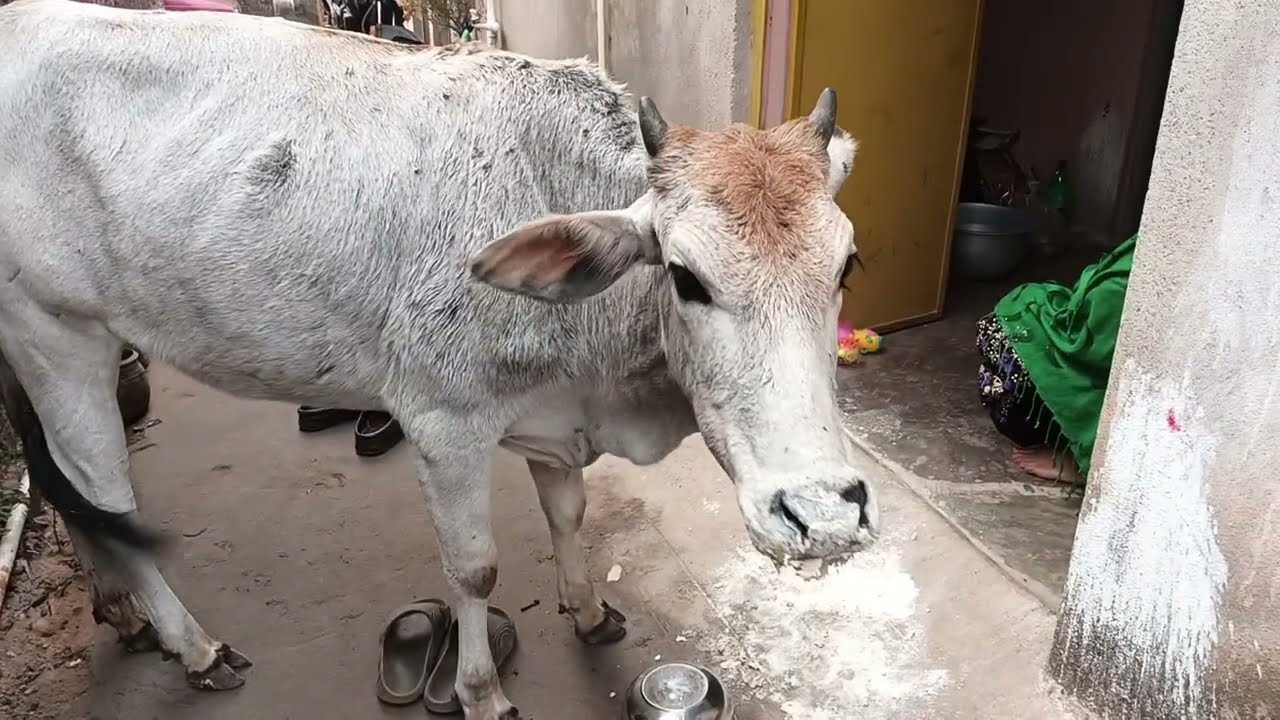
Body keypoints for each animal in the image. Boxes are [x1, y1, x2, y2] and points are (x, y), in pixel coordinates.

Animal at [0, 1, 877, 718]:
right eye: (687, 277)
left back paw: (120, 610)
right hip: (58, 333)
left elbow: (568, 514)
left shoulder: (554, 418)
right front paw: (480, 692)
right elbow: (475, 570)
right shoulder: (444, 422)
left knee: (62, 480)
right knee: (101, 489)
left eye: (847, 267)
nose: (825, 515)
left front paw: (588, 611)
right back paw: (194, 645)